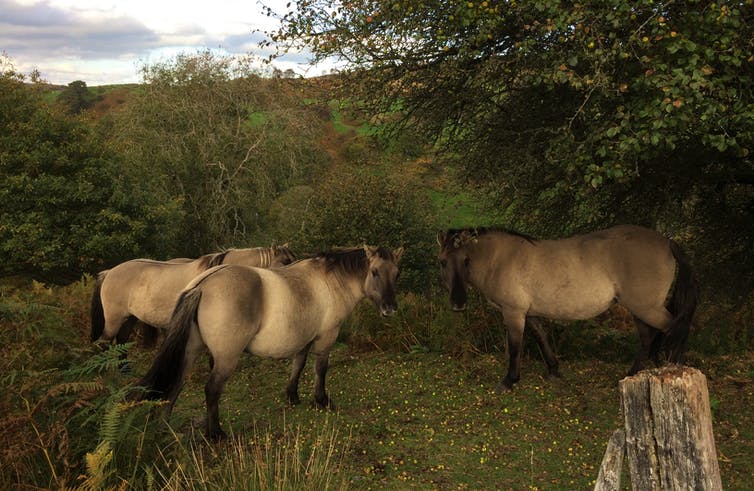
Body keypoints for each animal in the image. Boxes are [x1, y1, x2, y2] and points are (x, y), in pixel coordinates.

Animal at [132, 245, 403, 440]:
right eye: (375, 272)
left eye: (396, 273)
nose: (390, 309)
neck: (329, 281)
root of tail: (204, 284)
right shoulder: (326, 337)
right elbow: (320, 369)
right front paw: (322, 400)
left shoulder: (304, 339)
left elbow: (298, 365)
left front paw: (293, 396)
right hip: (225, 358)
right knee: (211, 390)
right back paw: (216, 434)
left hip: (191, 350)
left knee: (176, 385)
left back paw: (165, 427)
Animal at [437, 225, 697, 391]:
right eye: (442, 262)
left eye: (466, 261)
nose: (458, 303)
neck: (501, 258)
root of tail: (666, 241)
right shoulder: (529, 313)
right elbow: (541, 338)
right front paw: (554, 370)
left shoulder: (513, 313)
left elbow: (515, 347)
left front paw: (509, 380)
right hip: (640, 310)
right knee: (649, 338)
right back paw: (634, 374)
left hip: (646, 307)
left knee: (674, 329)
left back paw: (670, 367)